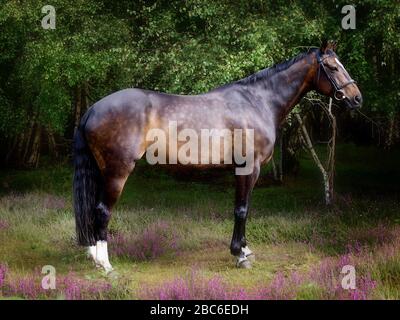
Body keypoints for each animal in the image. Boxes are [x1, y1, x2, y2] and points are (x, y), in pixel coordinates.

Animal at [72, 40, 362, 272]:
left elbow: (244, 208)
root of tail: (94, 109)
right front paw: (239, 254)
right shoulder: (248, 167)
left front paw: (244, 249)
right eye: (332, 67)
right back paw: (105, 264)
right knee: (102, 210)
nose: (356, 98)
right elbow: (242, 209)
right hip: (117, 172)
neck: (258, 102)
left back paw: (93, 256)